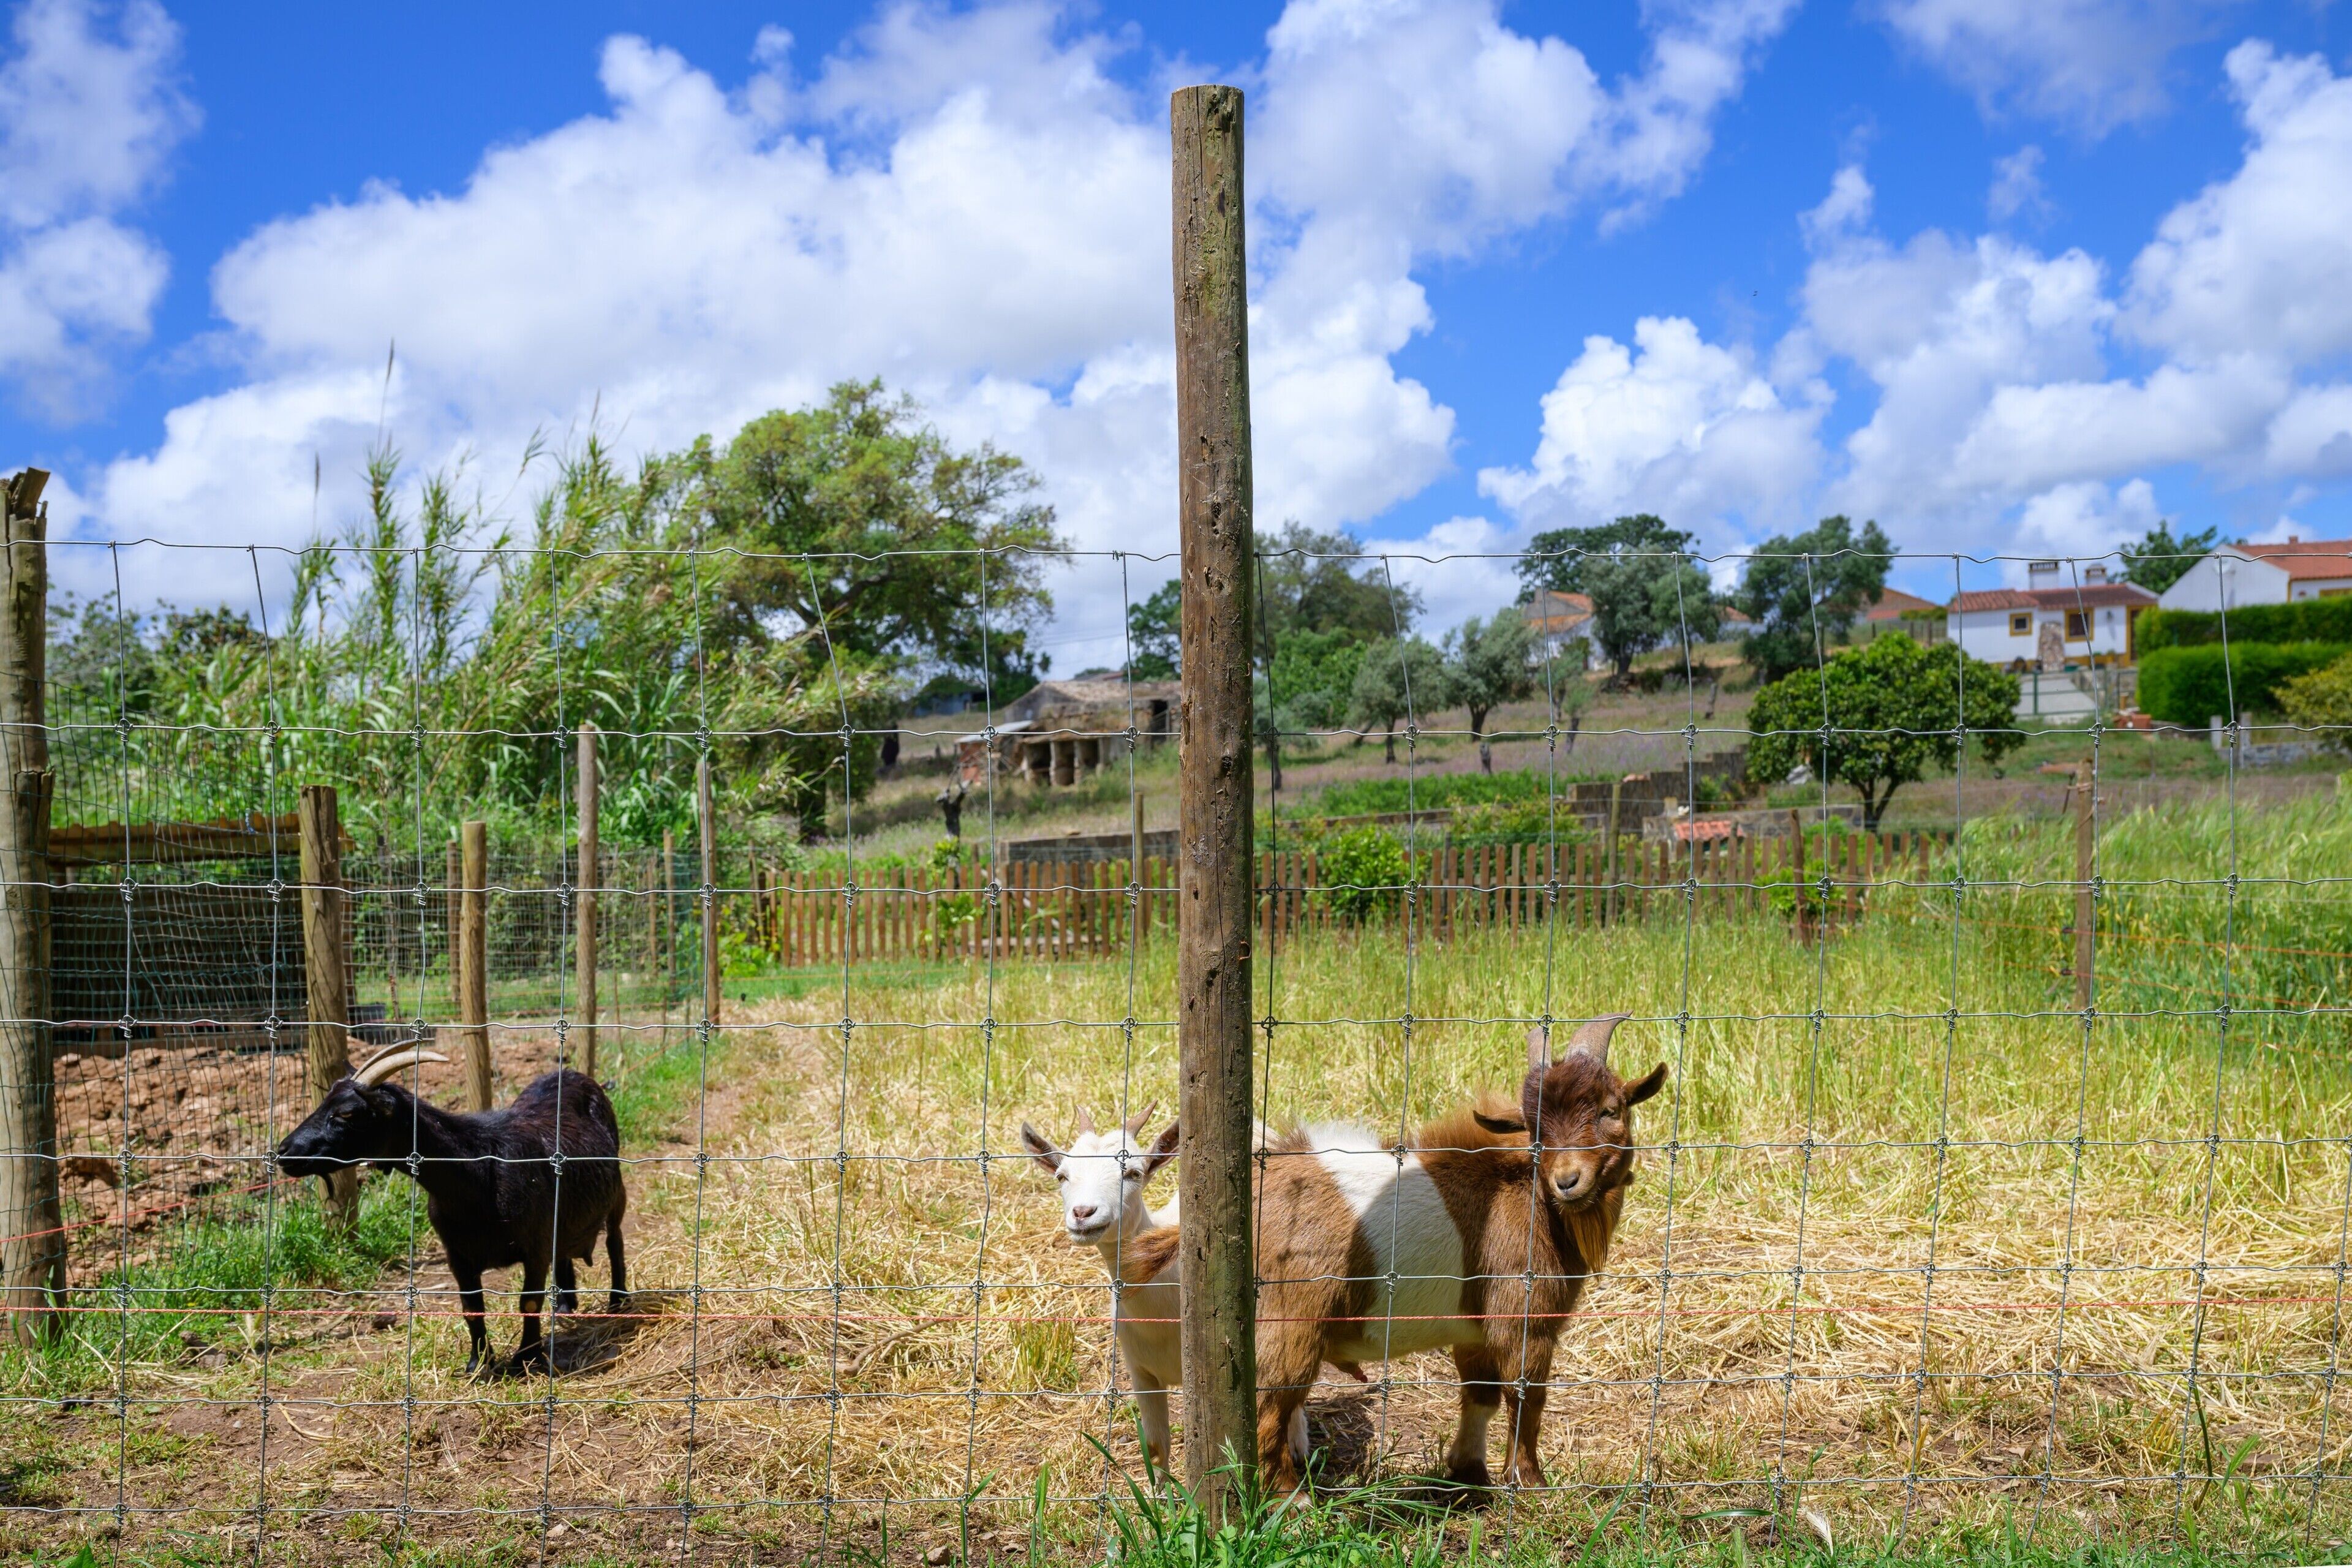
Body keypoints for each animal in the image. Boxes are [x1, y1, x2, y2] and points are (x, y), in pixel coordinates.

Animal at [275, 1045, 629, 1376]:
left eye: (347, 1114)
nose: (284, 1151)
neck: (479, 1176)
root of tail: (572, 1074)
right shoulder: (457, 1254)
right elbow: (471, 1306)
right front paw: (478, 1364)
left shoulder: (535, 1247)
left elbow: (528, 1301)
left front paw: (527, 1360)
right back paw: (567, 1305)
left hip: (617, 1193)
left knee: (615, 1240)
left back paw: (619, 1301)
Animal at [1020, 1105, 1311, 1479]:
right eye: (1061, 1176)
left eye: (1133, 1172)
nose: (1083, 1214)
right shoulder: (1140, 1372)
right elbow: (1156, 1448)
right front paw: (1160, 1494)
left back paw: (1299, 1443)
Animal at [1129, 1015, 1665, 1492]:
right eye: (1535, 1128)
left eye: (1611, 1110)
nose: (1568, 1180)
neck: (1529, 1197)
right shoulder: (1524, 1317)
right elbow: (1525, 1398)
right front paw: (1530, 1483)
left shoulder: (1472, 1332)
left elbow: (1481, 1396)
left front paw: (1469, 1472)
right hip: (1290, 1320)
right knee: (1269, 1404)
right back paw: (1291, 1499)